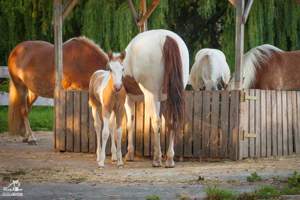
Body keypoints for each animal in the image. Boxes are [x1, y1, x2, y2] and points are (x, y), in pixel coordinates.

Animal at [119, 29, 188, 167]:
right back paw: (169, 159)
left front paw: (130, 154)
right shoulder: (161, 101)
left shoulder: (129, 99)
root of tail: (167, 38)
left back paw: (157, 160)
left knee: (156, 122)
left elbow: (130, 123)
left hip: (150, 95)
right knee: (172, 122)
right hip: (169, 98)